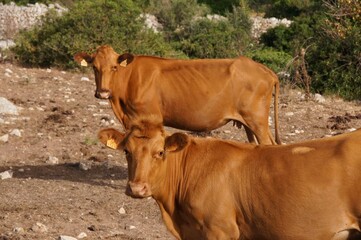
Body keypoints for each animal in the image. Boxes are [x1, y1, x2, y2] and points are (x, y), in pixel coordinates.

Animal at [74, 46, 280, 145]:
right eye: (94, 67)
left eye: (114, 67)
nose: (102, 92)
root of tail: (265, 70)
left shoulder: (149, 118)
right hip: (249, 122)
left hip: (257, 120)